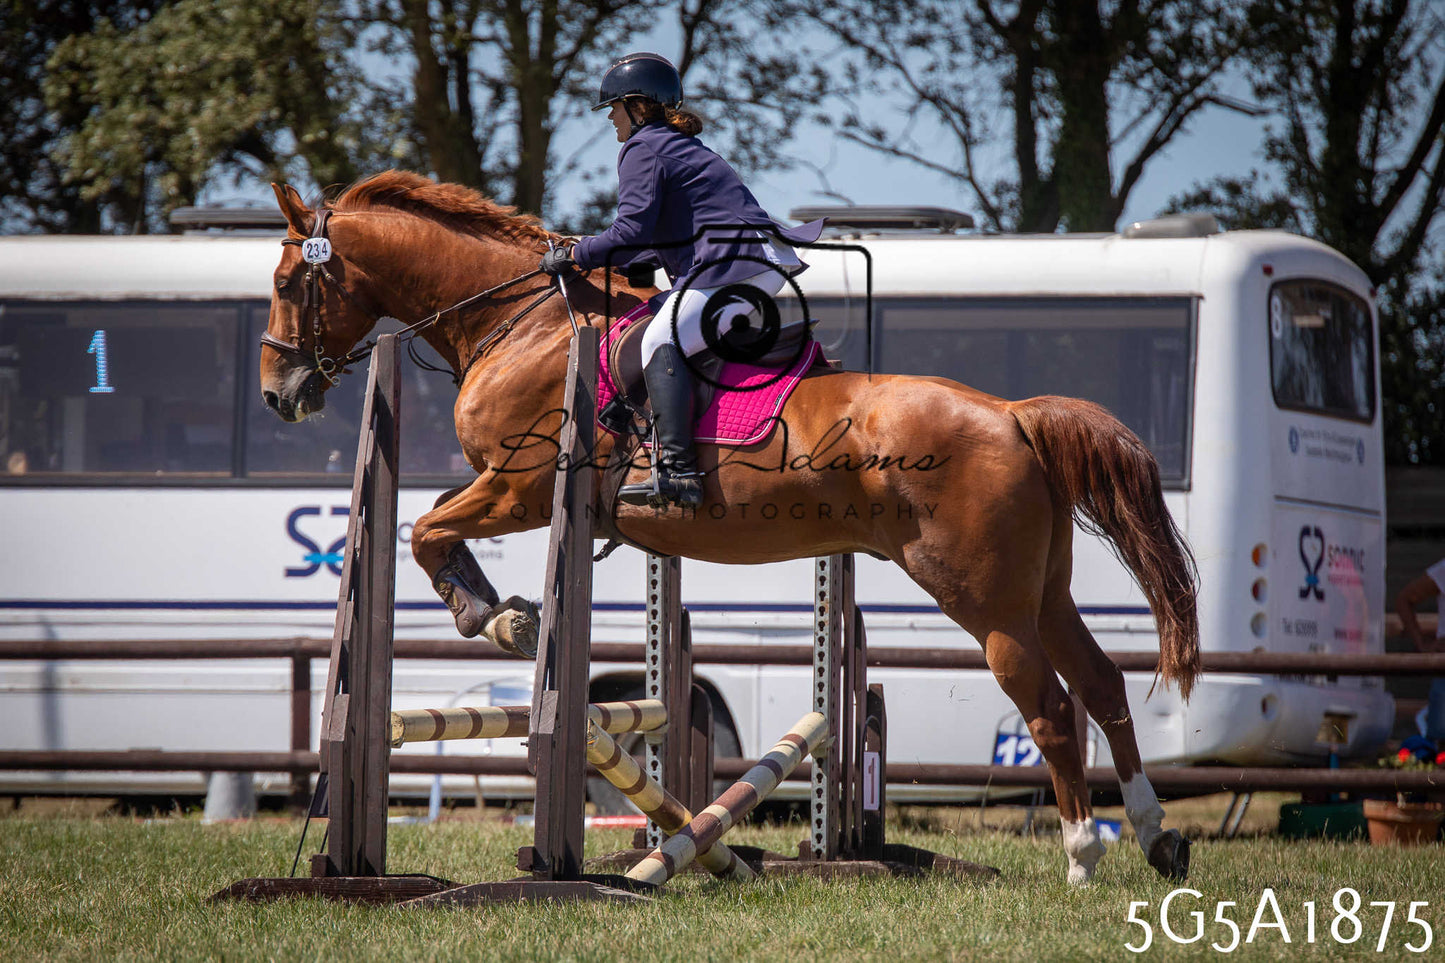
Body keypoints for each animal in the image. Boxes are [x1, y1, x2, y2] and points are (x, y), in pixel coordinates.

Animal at [259, 170, 1200, 885]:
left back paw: (1081, 854)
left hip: (986, 600)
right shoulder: (520, 494)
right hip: (1042, 592)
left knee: (1050, 706)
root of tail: (1011, 415)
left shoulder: (519, 488)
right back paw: (1157, 840)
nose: (279, 393)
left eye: (284, 284)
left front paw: (493, 615)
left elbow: (425, 531)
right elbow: (434, 531)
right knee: (1103, 686)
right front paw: (503, 611)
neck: (521, 321)